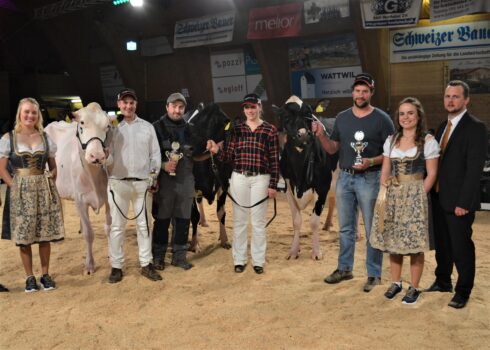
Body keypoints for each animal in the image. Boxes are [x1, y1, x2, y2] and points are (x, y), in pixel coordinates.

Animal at [45, 102, 112, 274]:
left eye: (107, 126)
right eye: (81, 123)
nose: (97, 156)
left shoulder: (110, 198)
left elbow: (109, 228)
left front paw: (112, 255)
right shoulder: (80, 201)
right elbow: (89, 234)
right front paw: (89, 265)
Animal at [274, 95, 338, 260]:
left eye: (309, 115)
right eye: (286, 117)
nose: (303, 134)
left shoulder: (322, 187)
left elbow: (313, 221)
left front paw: (316, 252)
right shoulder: (289, 188)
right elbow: (296, 221)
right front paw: (293, 251)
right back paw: (327, 225)